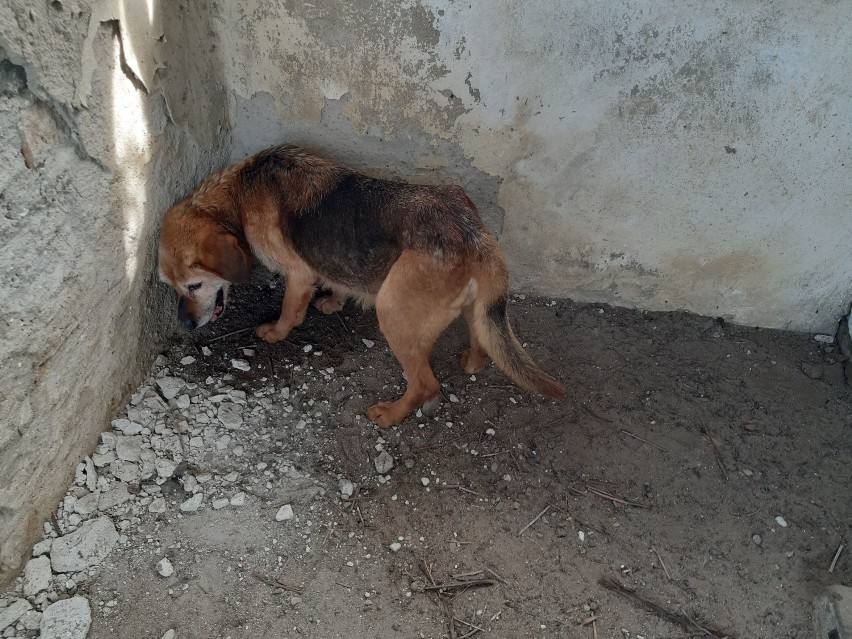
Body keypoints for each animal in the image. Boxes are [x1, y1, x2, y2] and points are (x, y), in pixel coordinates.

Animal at [158, 144, 564, 424]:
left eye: (193, 286)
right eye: (170, 287)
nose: (183, 325)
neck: (239, 195)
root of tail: (472, 231)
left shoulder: (298, 274)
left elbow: (290, 310)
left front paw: (276, 331)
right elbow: (339, 279)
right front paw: (335, 301)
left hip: (393, 311)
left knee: (426, 385)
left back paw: (392, 414)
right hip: (461, 301)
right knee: (480, 330)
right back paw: (475, 358)